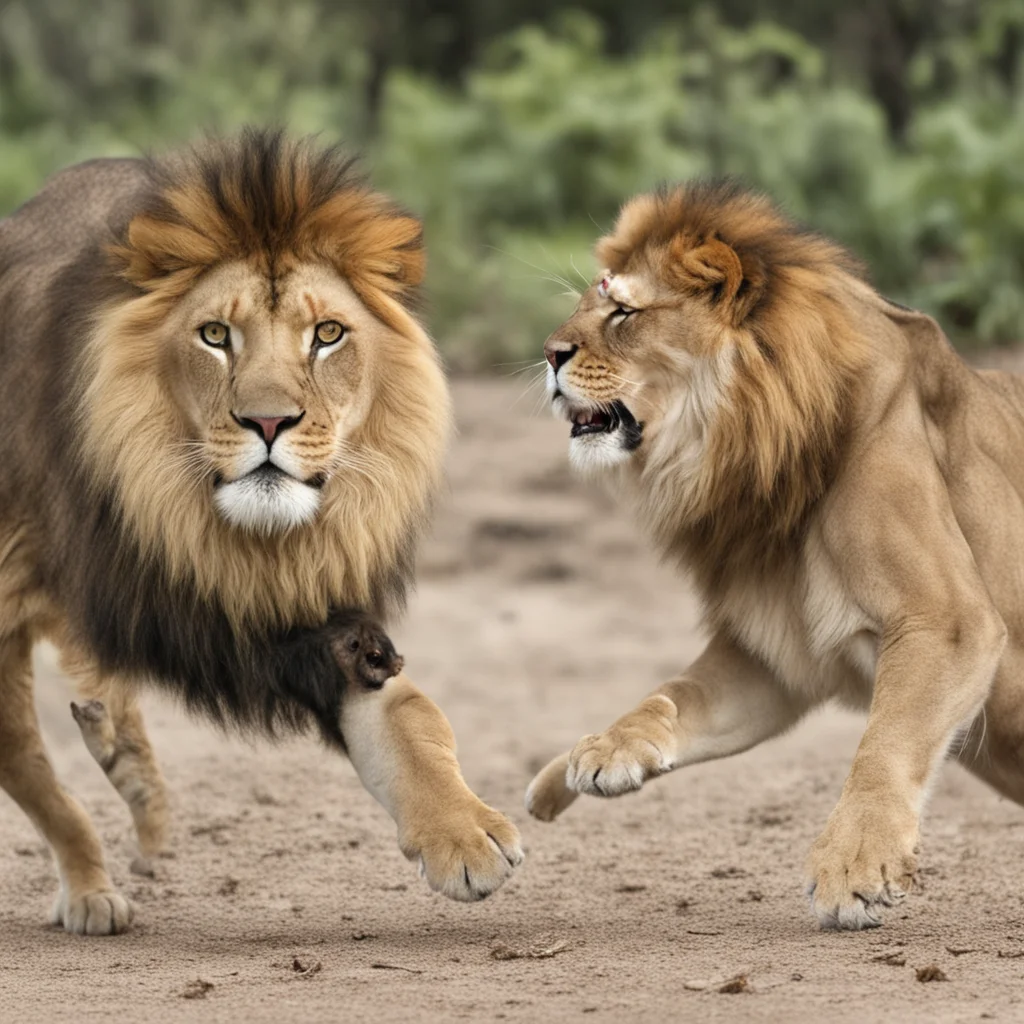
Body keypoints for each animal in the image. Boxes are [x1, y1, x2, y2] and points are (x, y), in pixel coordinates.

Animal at [0, 129, 521, 936]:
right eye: (215, 335)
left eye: (328, 335)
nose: (270, 421)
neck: (212, 533)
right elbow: (34, 776)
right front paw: (87, 888)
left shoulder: (314, 617)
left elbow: (411, 717)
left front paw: (463, 832)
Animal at [525, 180, 1020, 930]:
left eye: (624, 311)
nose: (548, 354)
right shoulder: (772, 656)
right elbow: (674, 696)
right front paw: (590, 759)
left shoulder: (948, 621)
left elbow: (886, 743)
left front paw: (853, 869)